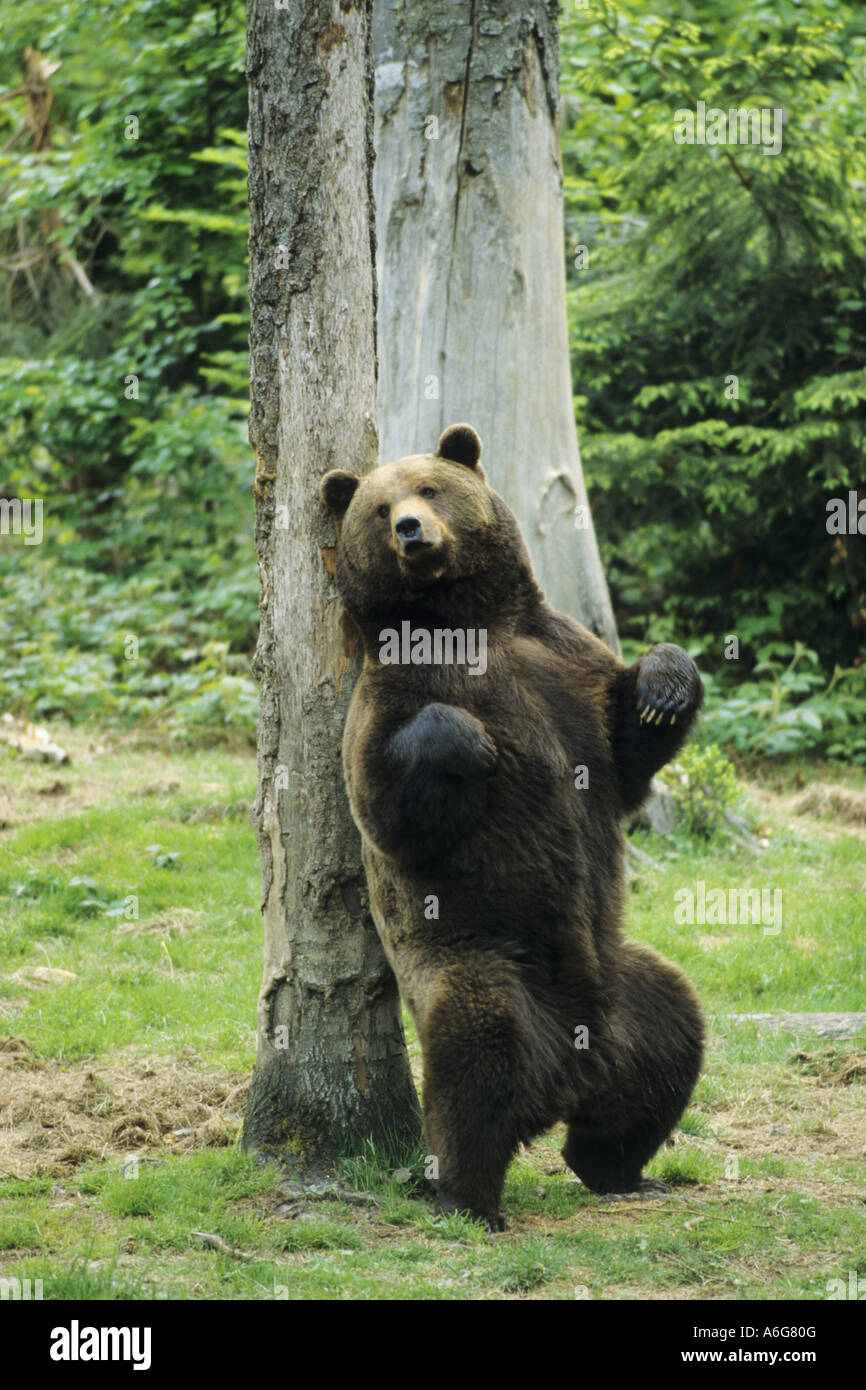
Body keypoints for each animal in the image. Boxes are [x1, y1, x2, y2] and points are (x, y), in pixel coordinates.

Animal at [322, 419, 708, 1228]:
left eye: (430, 488)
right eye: (379, 507)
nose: (411, 530)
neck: (465, 621)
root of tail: (572, 1071)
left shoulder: (561, 657)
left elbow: (626, 754)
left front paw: (664, 685)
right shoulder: (386, 697)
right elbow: (385, 803)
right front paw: (469, 744)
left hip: (627, 991)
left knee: (673, 1036)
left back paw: (622, 1170)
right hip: (486, 963)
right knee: (475, 1062)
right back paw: (467, 1199)